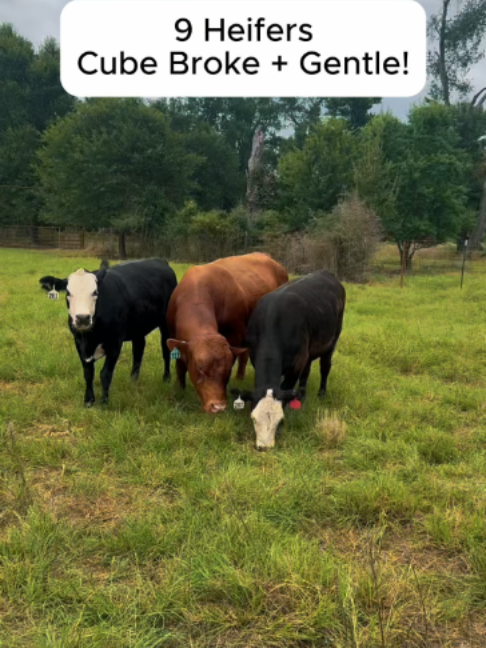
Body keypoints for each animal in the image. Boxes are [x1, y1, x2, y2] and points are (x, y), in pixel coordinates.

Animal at [39, 258, 177, 407]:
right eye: (68, 293)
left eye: (95, 292)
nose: (82, 318)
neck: (90, 338)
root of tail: (158, 260)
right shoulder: (78, 342)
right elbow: (88, 373)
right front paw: (89, 400)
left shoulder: (115, 342)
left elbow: (105, 374)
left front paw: (104, 401)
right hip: (138, 326)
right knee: (138, 349)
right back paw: (133, 380)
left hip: (165, 323)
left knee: (165, 350)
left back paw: (166, 378)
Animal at [166, 252, 288, 413]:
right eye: (199, 369)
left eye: (228, 369)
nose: (217, 406)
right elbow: (180, 367)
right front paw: (179, 389)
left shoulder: (235, 335)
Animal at [231, 270, 345, 449]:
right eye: (253, 418)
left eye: (280, 420)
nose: (264, 447)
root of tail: (326, 273)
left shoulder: (296, 365)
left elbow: (287, 387)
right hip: (309, 350)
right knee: (307, 370)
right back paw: (302, 394)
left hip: (332, 341)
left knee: (325, 367)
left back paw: (321, 393)